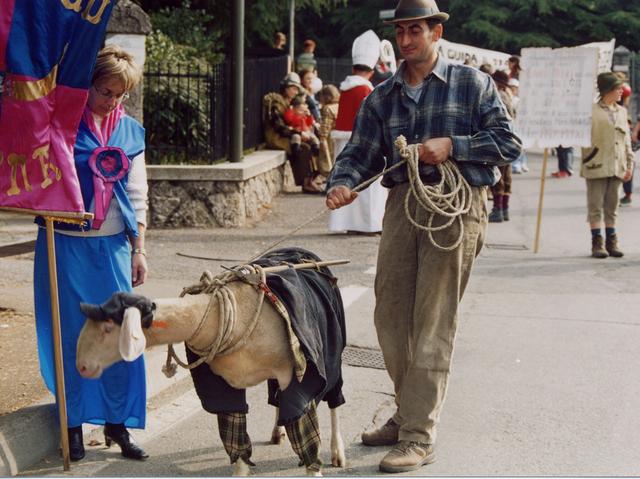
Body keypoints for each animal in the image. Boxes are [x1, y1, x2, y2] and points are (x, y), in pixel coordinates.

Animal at [77, 260, 348, 478]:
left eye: (108, 328)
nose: (82, 366)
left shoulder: (296, 374)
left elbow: (304, 429)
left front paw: (314, 468)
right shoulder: (222, 385)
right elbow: (235, 436)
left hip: (332, 351)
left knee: (333, 400)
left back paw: (337, 452)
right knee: (279, 400)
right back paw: (277, 432)